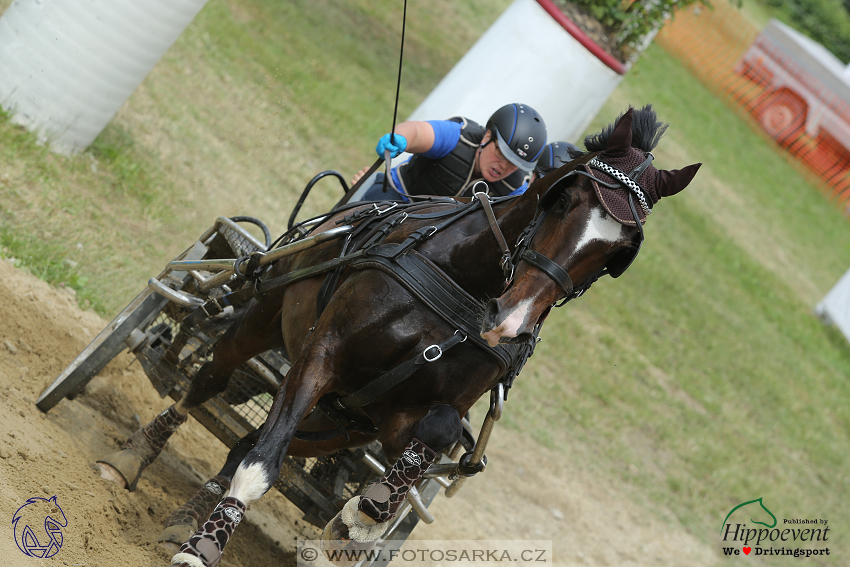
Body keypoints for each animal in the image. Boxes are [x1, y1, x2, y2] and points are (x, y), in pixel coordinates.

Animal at [96, 103, 700, 567]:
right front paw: (202, 549)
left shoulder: (398, 418)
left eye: (615, 254)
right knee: (208, 382)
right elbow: (264, 461)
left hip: (339, 423)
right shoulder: (323, 354)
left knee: (254, 436)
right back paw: (134, 460)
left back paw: (191, 513)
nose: (510, 321)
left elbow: (432, 436)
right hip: (264, 318)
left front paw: (360, 518)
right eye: (567, 201)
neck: (460, 284)